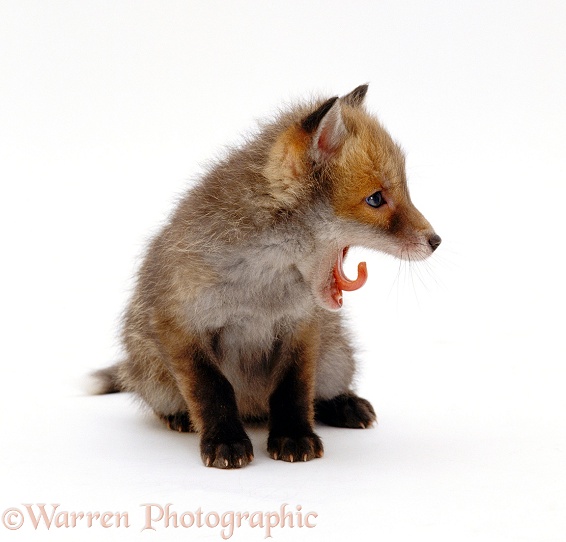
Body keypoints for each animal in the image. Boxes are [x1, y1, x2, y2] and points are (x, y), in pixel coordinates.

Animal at [93, 84, 442, 468]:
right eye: (376, 199)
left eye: (404, 191)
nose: (436, 241)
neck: (262, 290)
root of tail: (253, 411)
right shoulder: (179, 325)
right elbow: (212, 391)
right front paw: (225, 440)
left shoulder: (301, 326)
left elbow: (294, 390)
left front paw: (294, 436)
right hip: (155, 381)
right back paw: (180, 417)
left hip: (337, 359)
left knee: (322, 390)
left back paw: (344, 403)